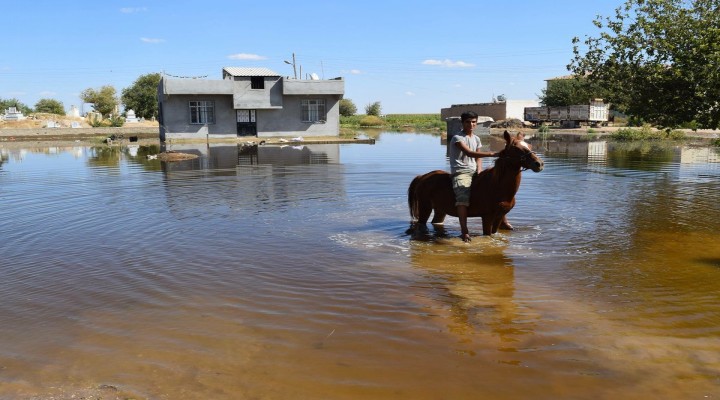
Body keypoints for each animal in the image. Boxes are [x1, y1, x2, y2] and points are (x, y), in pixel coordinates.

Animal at [408, 131, 544, 236]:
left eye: (529, 146)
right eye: (516, 148)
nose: (539, 164)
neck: (497, 187)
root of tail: (422, 177)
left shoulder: (500, 216)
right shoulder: (487, 217)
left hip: (440, 210)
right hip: (425, 207)